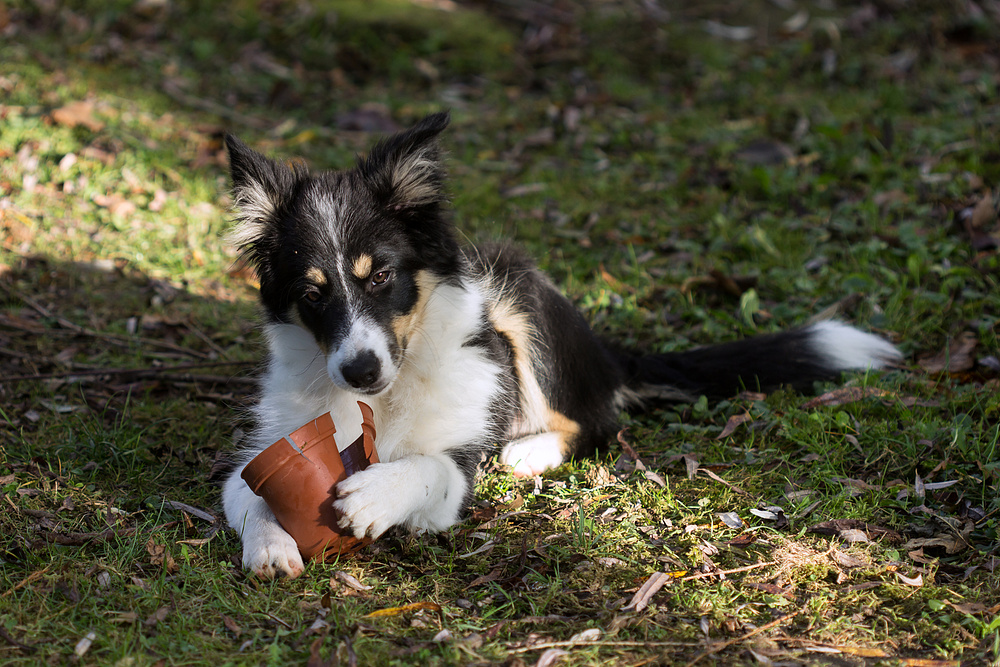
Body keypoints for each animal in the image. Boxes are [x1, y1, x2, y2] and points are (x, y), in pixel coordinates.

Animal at [219, 111, 900, 580]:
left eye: (381, 276)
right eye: (313, 294)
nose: (358, 372)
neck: (387, 396)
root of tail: (604, 352)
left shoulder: (454, 472)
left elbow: (429, 466)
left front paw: (375, 494)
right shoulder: (265, 450)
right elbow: (249, 495)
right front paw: (273, 545)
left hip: (521, 300)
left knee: (595, 422)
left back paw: (529, 451)